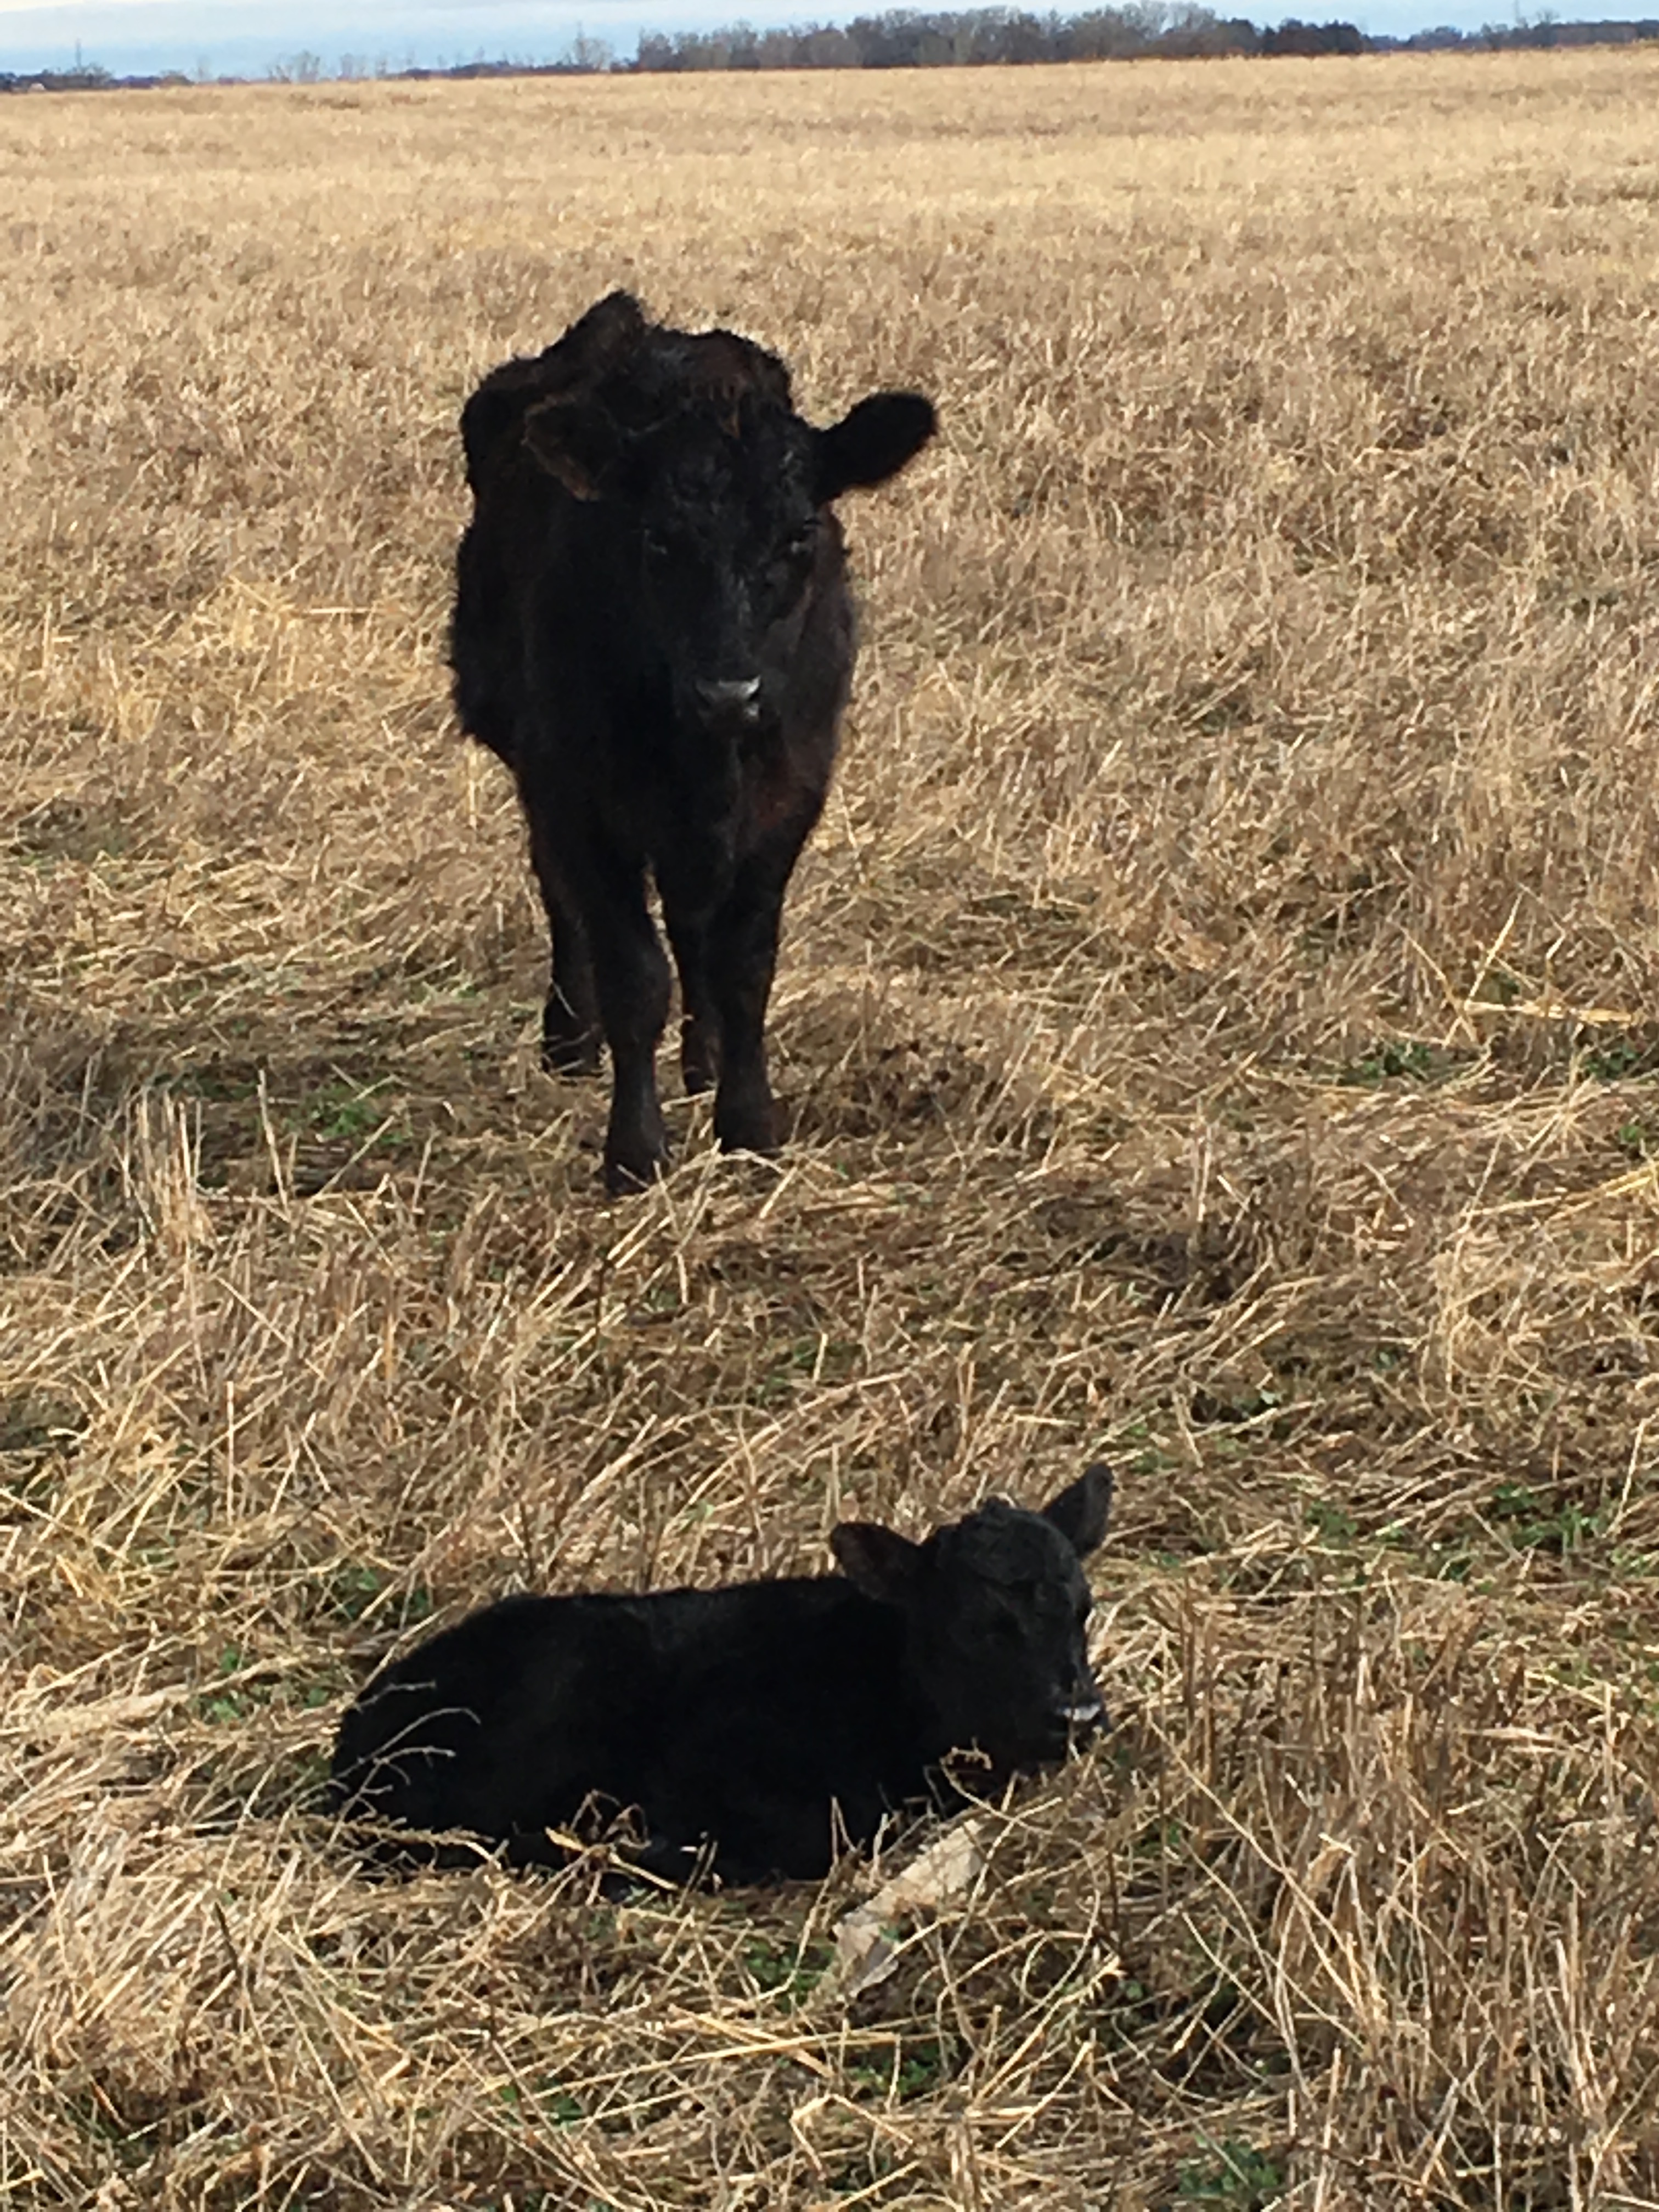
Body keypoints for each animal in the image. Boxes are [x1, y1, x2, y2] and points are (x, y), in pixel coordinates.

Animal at [449, 291, 937, 1193]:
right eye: (657, 539)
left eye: (799, 536)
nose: (728, 695)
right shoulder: (577, 794)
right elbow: (634, 972)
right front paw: (635, 1153)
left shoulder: (790, 794)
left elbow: (743, 964)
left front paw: (747, 1123)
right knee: (564, 900)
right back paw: (571, 1041)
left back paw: (703, 1059)